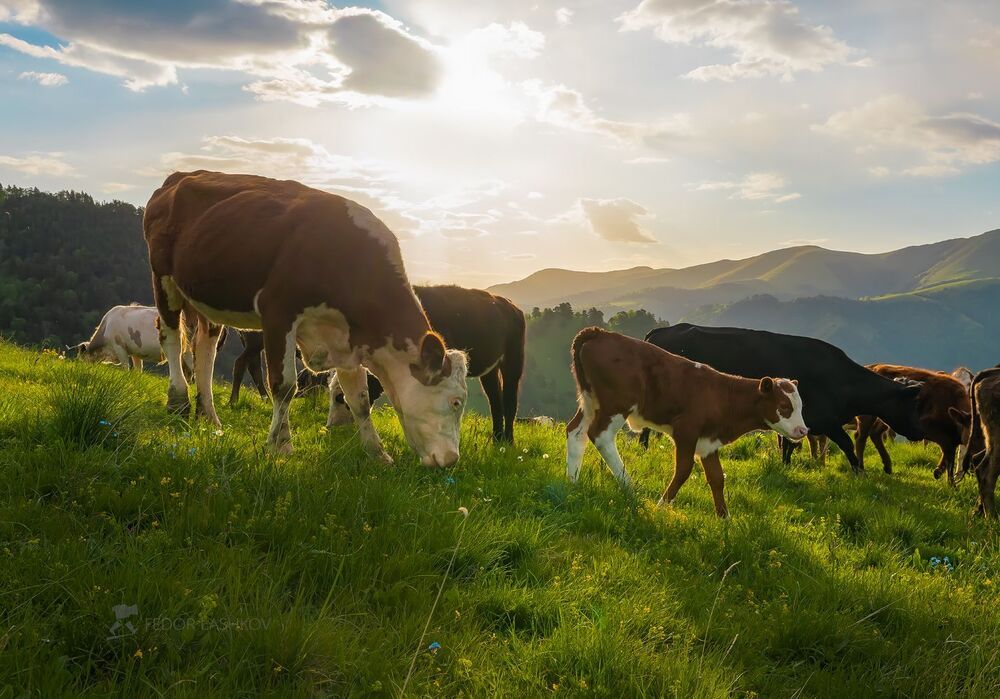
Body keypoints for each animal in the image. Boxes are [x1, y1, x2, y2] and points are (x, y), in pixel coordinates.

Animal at [143, 170, 469, 466]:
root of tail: (178, 177)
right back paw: (178, 400)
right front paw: (281, 444)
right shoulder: (278, 313)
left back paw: (209, 415)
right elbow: (284, 386)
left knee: (205, 347)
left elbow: (359, 400)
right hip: (163, 276)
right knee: (171, 335)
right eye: (455, 402)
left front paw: (378, 454)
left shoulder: (346, 340)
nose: (451, 459)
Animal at [327, 285, 525, 442]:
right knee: (495, 399)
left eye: (340, 397)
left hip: (514, 359)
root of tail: (509, 304)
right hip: (490, 369)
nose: (330, 426)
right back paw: (497, 439)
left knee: (509, 399)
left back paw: (508, 441)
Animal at [566, 327, 808, 517]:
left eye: (801, 406)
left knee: (575, 432)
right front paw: (661, 506)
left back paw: (572, 482)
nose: (803, 430)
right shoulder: (686, 431)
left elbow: (717, 478)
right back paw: (630, 489)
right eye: (784, 406)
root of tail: (598, 333)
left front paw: (724, 519)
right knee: (600, 436)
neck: (721, 395)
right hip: (616, 405)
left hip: (590, 401)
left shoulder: (709, 441)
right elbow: (683, 470)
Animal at [642, 324, 924, 473]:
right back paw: (643, 449)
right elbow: (845, 443)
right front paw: (859, 471)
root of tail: (661, 331)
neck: (844, 383)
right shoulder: (825, 419)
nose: (919, 434)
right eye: (914, 406)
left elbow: (788, 444)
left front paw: (785, 465)